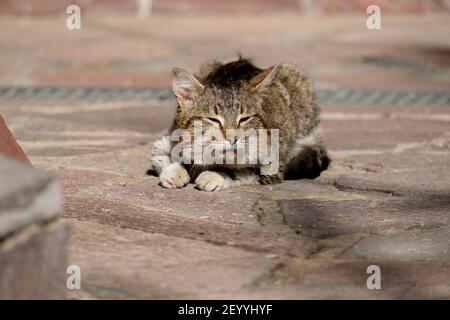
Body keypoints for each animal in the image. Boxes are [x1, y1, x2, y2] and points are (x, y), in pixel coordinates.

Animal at [149, 56, 328, 191]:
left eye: (244, 119)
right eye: (213, 120)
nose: (233, 139)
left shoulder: (272, 168)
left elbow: (240, 172)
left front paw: (213, 175)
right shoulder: (163, 142)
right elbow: (166, 157)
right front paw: (174, 171)